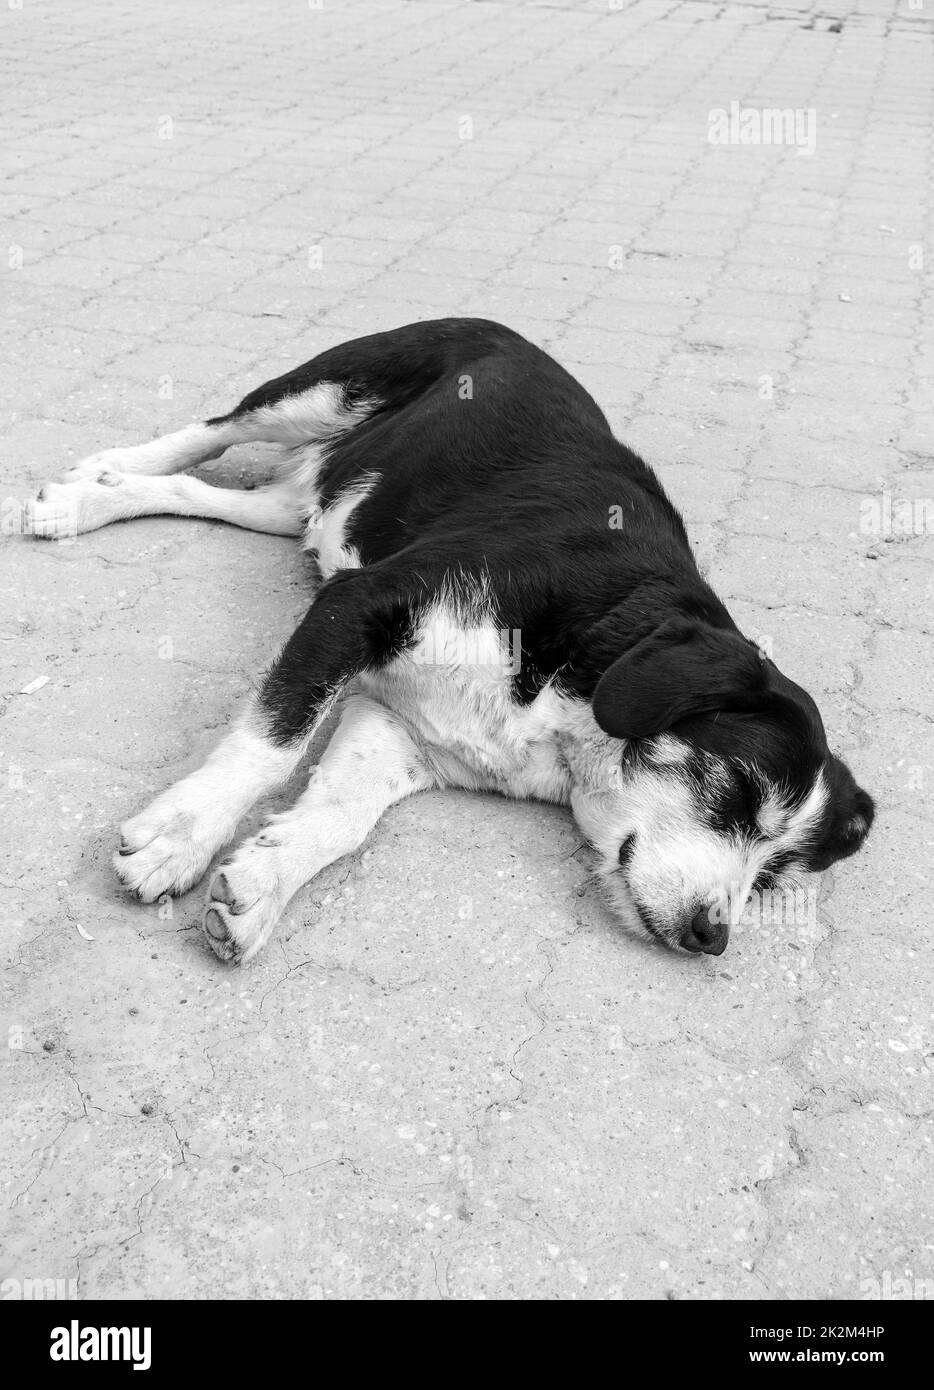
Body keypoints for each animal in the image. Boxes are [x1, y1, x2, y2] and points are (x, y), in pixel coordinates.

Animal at [27, 318, 878, 961]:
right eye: (737, 794)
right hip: (327, 389)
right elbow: (271, 745)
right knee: (209, 432)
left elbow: (340, 817)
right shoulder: (359, 604)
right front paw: (183, 835)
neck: (576, 682)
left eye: (771, 879)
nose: (712, 935)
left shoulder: (397, 727)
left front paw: (263, 884)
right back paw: (97, 472)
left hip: (314, 504)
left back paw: (95, 497)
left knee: (199, 491)